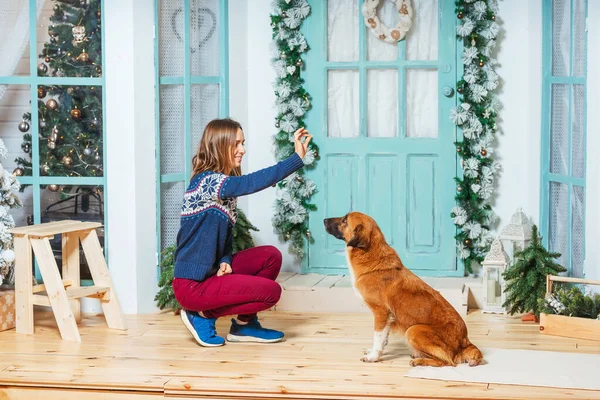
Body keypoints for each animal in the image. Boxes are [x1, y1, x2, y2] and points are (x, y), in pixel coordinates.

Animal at [324, 214, 482, 368]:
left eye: (344, 220)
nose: (324, 220)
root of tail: (465, 342)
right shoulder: (388, 317)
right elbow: (383, 339)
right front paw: (376, 351)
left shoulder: (381, 313)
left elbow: (377, 337)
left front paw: (373, 357)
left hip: (414, 330)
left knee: (448, 361)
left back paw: (420, 361)